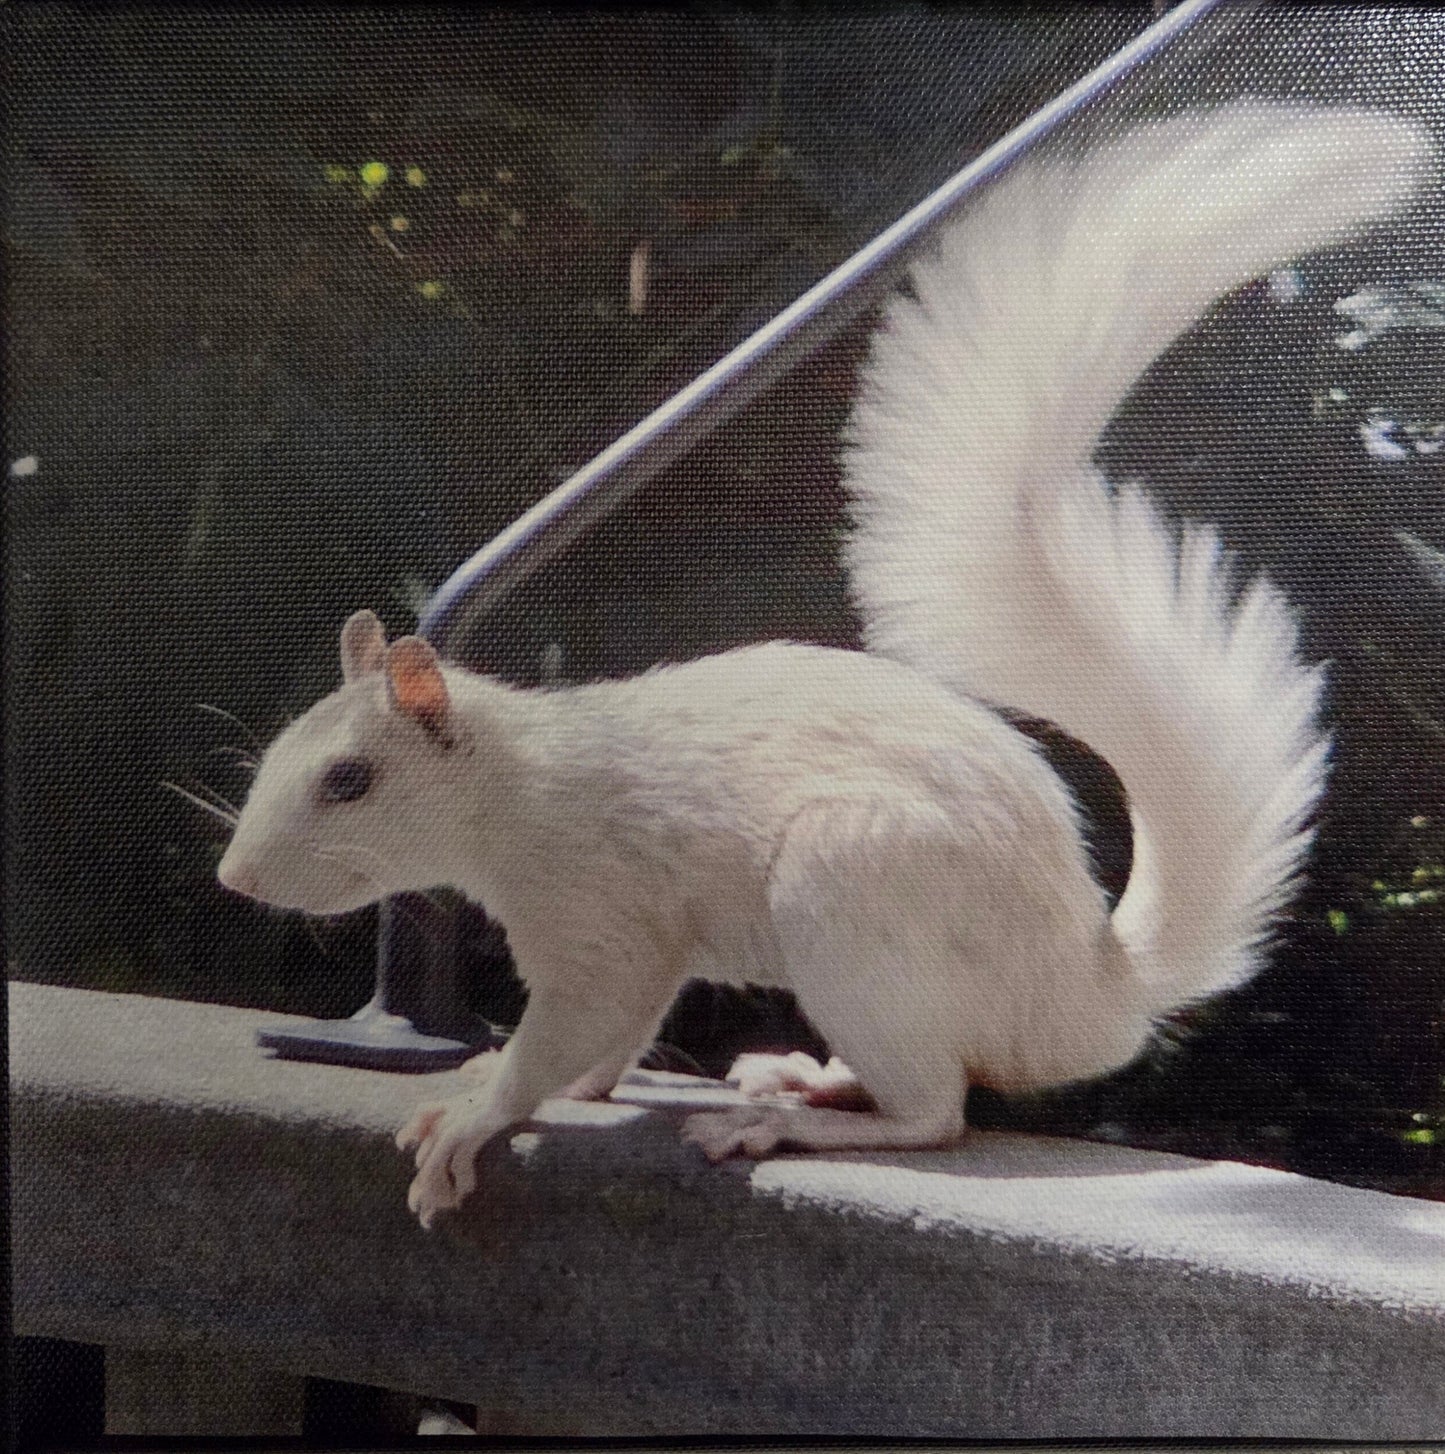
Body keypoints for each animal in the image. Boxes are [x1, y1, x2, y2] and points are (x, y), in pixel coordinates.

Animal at [218, 102, 1433, 1229]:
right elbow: (612, 1045)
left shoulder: (600, 914)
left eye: (348, 780)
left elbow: (575, 1031)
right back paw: (808, 1078)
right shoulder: (642, 940)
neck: (515, 789)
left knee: (936, 1112)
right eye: (279, 755)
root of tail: (1092, 993)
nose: (236, 880)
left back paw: (780, 1123)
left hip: (851, 890)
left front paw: (472, 1117)